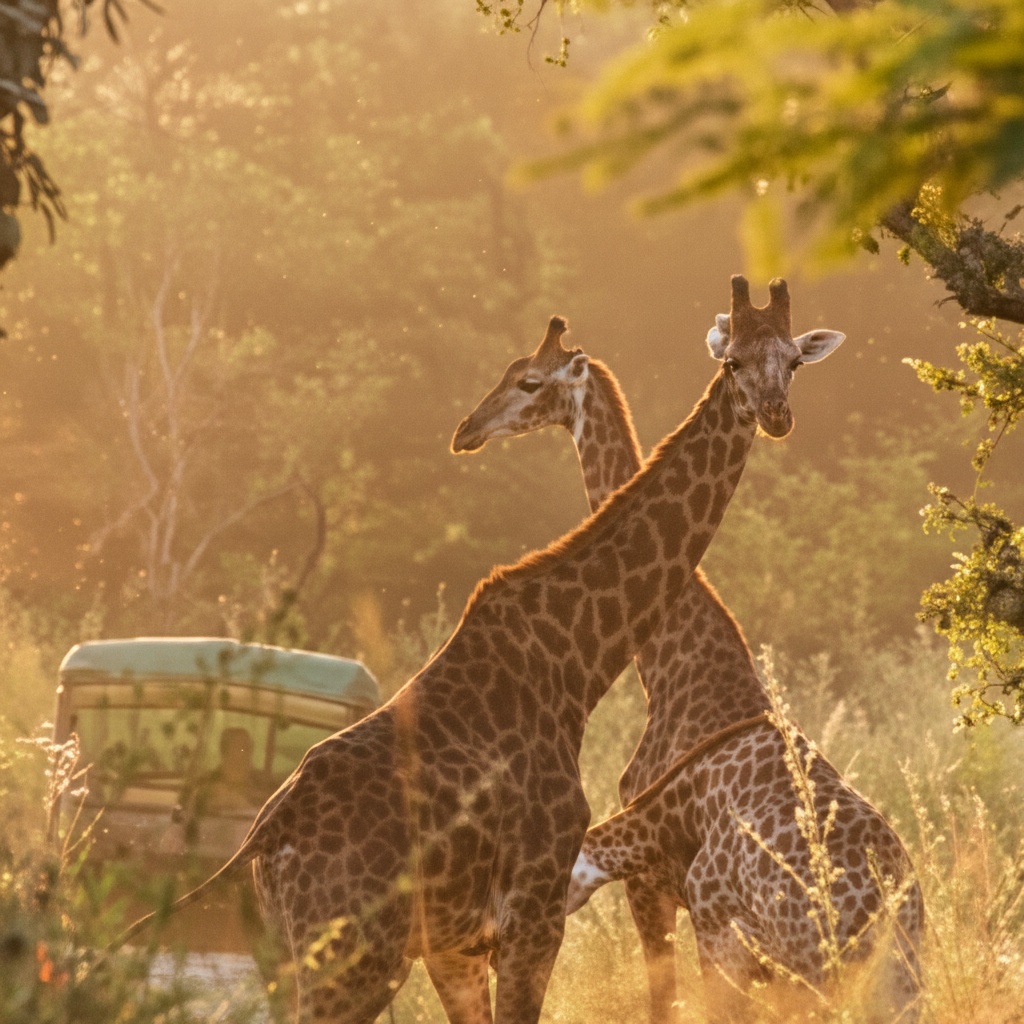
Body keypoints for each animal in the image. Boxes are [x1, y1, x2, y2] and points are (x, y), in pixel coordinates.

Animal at [123, 275, 806, 1024]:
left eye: (792, 360)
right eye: (733, 362)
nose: (774, 414)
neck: (574, 657)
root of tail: (267, 840)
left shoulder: (456, 945)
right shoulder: (535, 912)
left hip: (288, 957)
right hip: (353, 960)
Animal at [451, 301, 923, 1023]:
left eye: (528, 381)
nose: (467, 430)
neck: (675, 662)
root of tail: (878, 934)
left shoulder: (650, 883)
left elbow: (660, 997)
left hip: (768, 962)